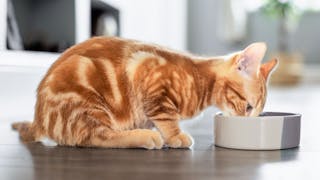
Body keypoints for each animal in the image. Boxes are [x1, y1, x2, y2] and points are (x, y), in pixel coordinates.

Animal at [11, 36, 278, 149]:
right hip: (87, 103)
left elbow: (156, 119)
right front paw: (175, 136)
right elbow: (167, 119)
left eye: (257, 112)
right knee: (97, 138)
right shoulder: (151, 79)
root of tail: (39, 119)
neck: (200, 79)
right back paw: (144, 138)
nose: (248, 122)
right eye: (248, 107)